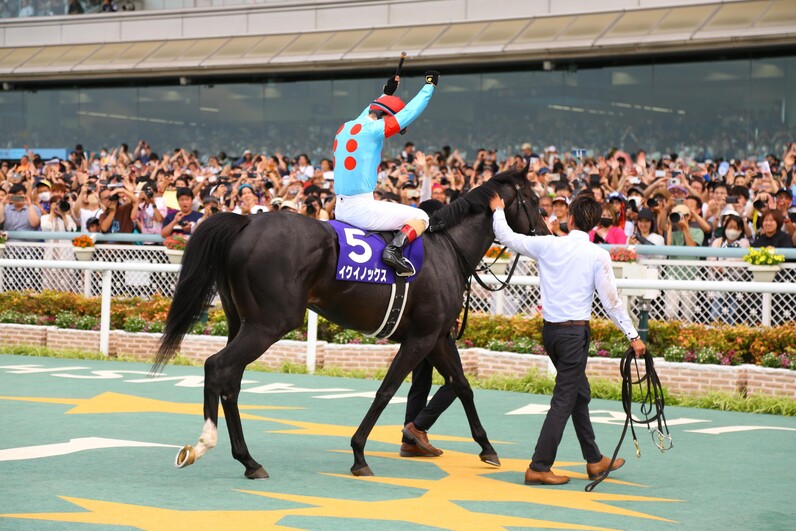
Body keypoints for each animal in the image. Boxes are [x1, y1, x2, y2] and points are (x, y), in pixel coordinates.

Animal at [152, 166, 552, 478]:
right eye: (534, 200)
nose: (549, 236)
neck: (447, 250)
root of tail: (247, 220)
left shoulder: (438, 337)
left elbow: (463, 385)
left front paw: (487, 448)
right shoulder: (421, 338)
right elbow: (387, 390)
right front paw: (359, 453)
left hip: (242, 321)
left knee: (230, 380)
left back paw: (249, 461)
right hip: (268, 324)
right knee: (217, 367)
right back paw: (205, 444)